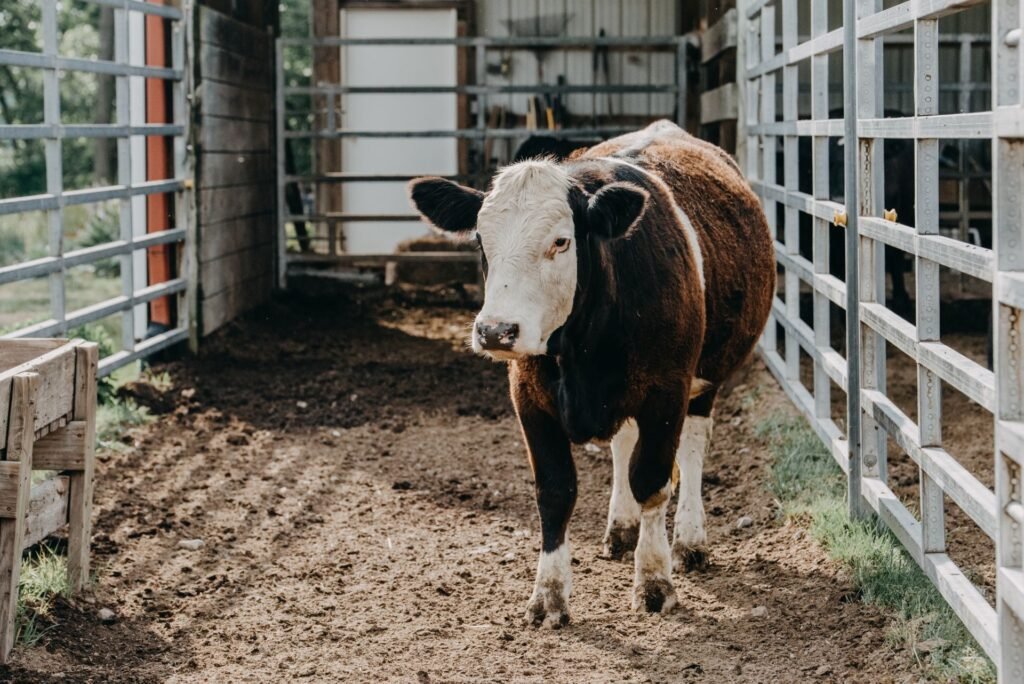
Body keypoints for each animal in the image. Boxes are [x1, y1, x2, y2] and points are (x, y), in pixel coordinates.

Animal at [408, 120, 775, 626]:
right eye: (481, 240)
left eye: (561, 241)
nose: (496, 331)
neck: (582, 348)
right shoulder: (527, 396)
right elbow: (555, 490)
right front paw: (549, 595)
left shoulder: (666, 391)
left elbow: (653, 480)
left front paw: (655, 582)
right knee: (623, 444)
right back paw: (621, 528)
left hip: (706, 379)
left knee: (693, 448)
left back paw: (689, 540)